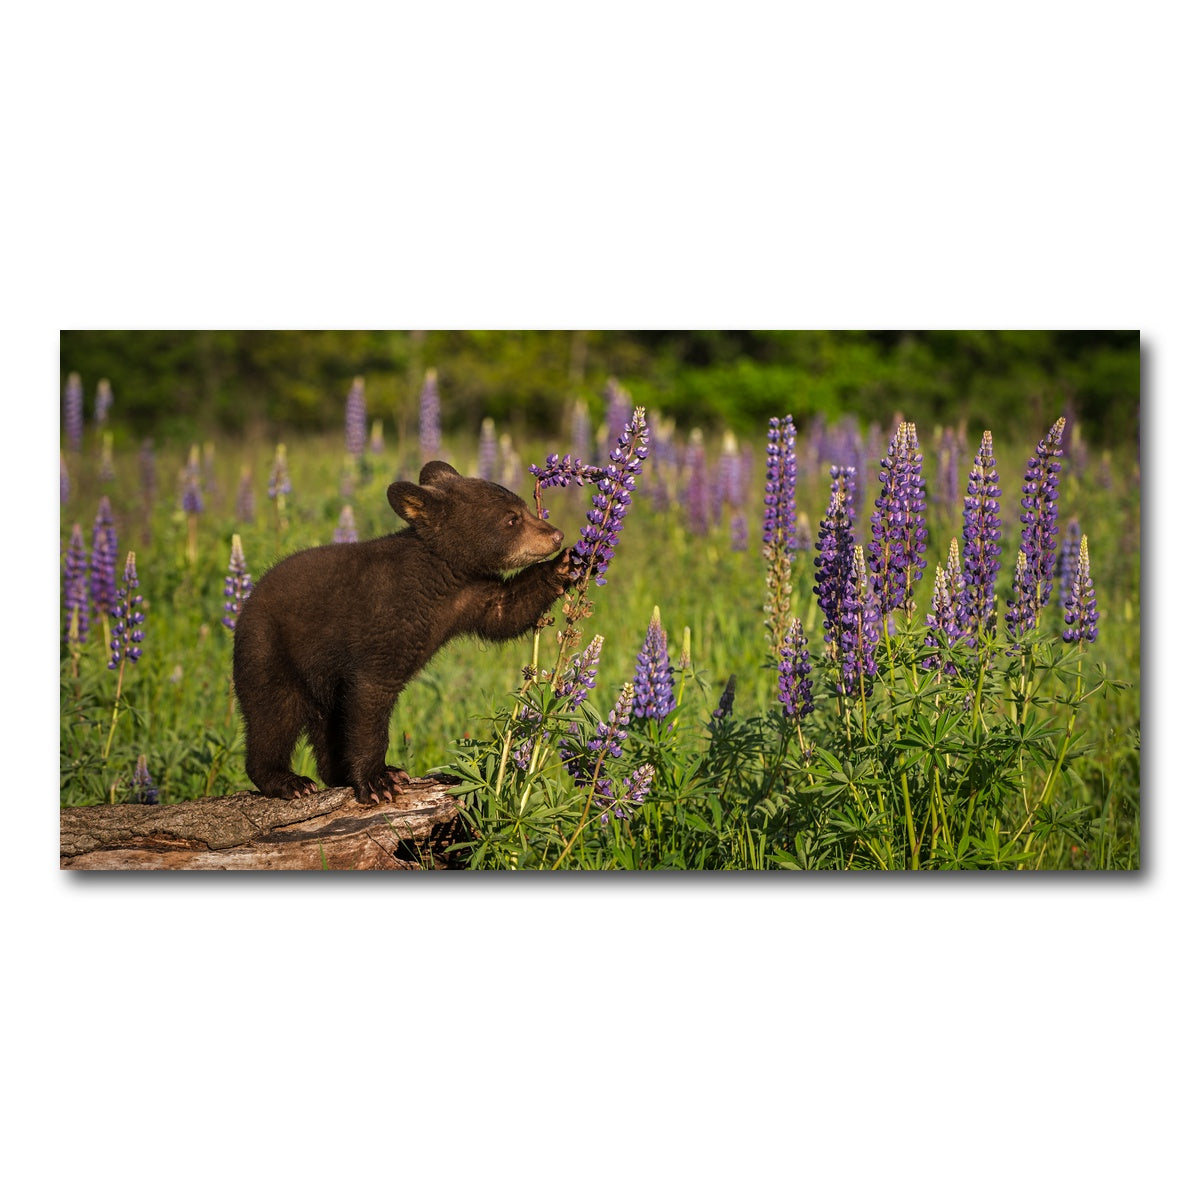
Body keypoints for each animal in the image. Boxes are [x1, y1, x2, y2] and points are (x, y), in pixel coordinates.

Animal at [232, 460, 570, 804]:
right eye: (511, 519)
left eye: (525, 508)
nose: (556, 535)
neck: (440, 576)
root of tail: (246, 604)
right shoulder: (384, 623)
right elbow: (371, 698)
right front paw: (378, 780)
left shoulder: (470, 595)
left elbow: (506, 611)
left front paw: (566, 565)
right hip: (269, 650)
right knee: (273, 714)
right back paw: (288, 781)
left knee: (327, 722)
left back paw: (336, 774)